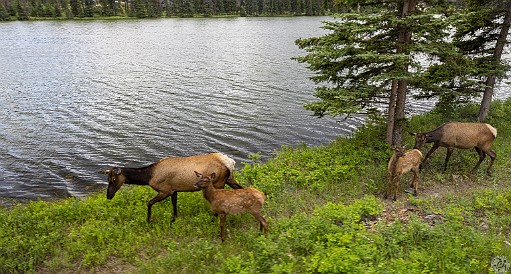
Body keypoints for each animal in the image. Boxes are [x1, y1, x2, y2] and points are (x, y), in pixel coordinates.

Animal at [101, 153, 245, 224]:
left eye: (114, 180)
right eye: (107, 179)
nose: (108, 196)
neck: (149, 177)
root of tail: (230, 162)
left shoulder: (165, 190)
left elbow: (149, 203)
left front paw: (148, 220)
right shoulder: (174, 190)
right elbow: (174, 204)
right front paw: (174, 218)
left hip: (219, 182)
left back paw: (214, 216)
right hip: (230, 179)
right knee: (241, 188)